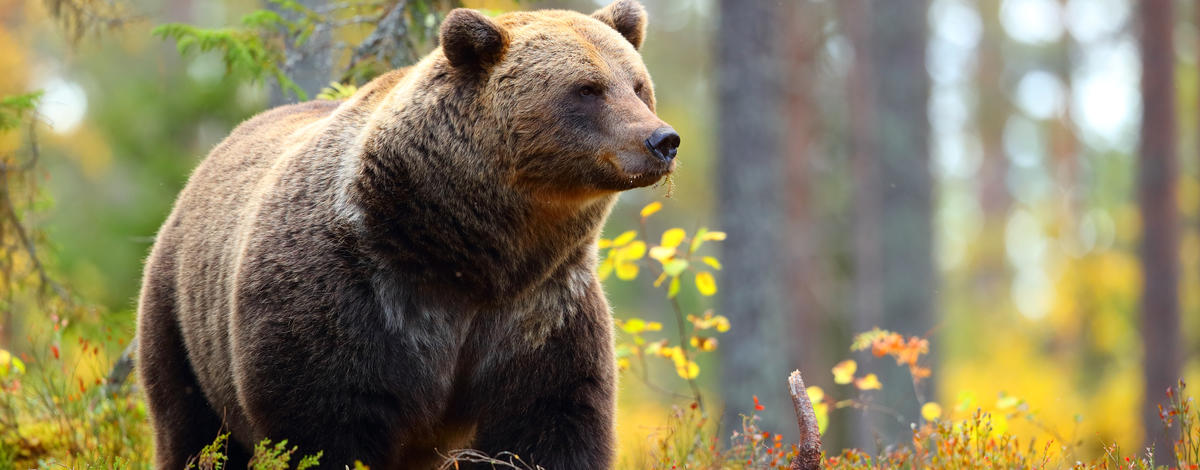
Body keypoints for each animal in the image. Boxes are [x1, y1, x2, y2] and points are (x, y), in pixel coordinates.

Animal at [134, 1, 679, 469]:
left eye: (637, 85)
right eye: (587, 88)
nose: (662, 139)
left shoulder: (540, 311)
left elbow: (550, 423)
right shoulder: (354, 296)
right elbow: (323, 422)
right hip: (181, 321)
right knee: (191, 430)